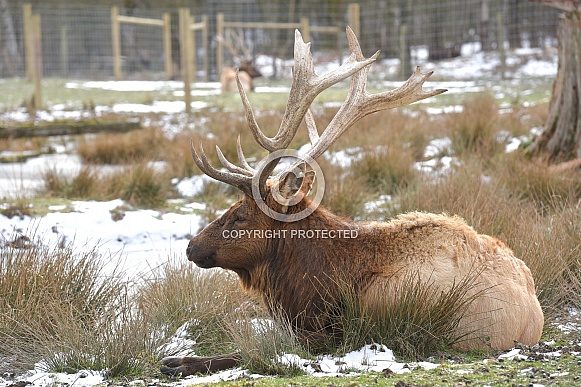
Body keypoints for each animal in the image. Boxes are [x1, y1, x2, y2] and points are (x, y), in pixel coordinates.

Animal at [160, 26, 544, 376]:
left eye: (240, 215)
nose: (191, 247)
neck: (307, 281)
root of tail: (534, 310)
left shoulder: (327, 335)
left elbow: (248, 351)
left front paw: (177, 362)